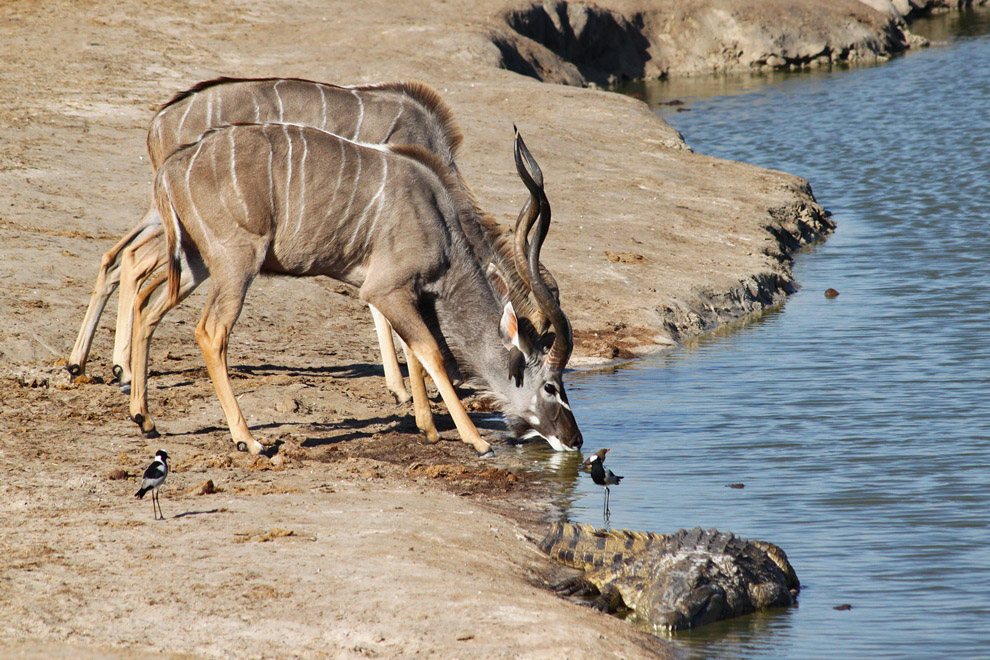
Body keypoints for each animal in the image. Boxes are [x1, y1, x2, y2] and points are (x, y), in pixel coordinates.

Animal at [66, 80, 492, 404]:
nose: (461, 379)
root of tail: (158, 120)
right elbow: (383, 311)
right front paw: (403, 390)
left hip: (171, 221)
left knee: (121, 258)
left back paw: (88, 366)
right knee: (136, 261)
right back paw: (120, 371)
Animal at [133, 126, 580, 456]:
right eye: (550, 386)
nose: (575, 440)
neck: (437, 218)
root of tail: (172, 167)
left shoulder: (407, 295)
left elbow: (415, 354)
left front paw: (428, 428)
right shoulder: (384, 291)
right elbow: (432, 353)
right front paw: (476, 440)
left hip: (195, 263)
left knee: (147, 307)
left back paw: (145, 419)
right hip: (236, 266)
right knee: (210, 332)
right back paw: (248, 440)